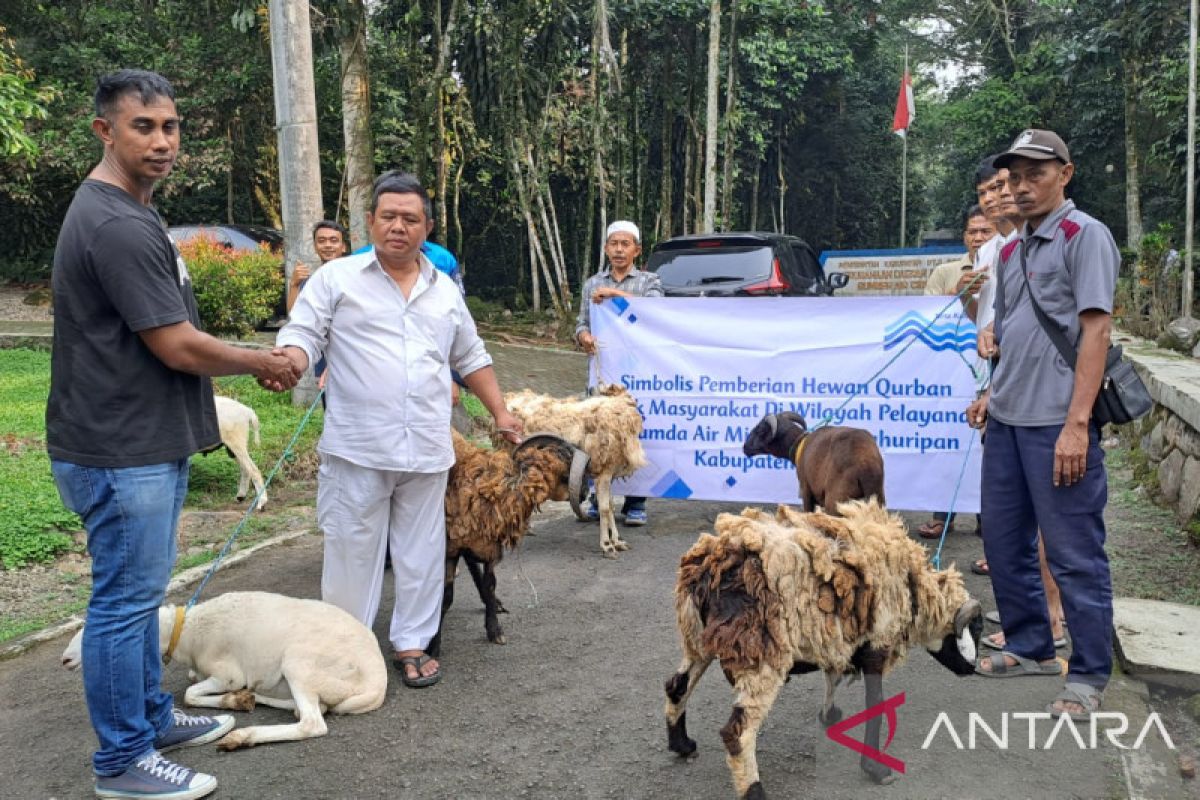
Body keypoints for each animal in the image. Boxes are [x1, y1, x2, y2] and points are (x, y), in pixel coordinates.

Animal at [63, 592, 386, 748]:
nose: (65, 660)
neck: (188, 633)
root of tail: (376, 685)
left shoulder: (227, 672)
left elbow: (190, 694)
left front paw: (228, 699)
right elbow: (193, 684)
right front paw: (237, 699)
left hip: (301, 662)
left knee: (312, 722)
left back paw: (242, 736)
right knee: (307, 708)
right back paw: (248, 699)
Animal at [432, 431, 590, 657]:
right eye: (570, 466)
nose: (585, 493)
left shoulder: (490, 549)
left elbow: (490, 585)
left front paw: (495, 630)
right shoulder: (450, 549)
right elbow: (445, 597)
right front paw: (433, 646)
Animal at [499, 386, 648, 556]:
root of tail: (510, 399)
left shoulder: (608, 475)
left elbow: (610, 507)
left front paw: (617, 542)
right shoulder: (603, 473)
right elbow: (604, 509)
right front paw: (607, 545)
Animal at [662, 501, 979, 800]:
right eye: (975, 629)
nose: (973, 669)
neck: (914, 587)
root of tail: (709, 570)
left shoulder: (837, 637)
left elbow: (833, 677)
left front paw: (829, 714)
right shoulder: (877, 643)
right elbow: (875, 704)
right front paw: (876, 769)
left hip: (698, 639)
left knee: (677, 686)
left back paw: (681, 744)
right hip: (762, 655)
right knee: (738, 732)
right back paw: (754, 791)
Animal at [739, 412, 883, 513]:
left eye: (760, 430)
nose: (745, 447)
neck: (798, 443)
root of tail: (867, 465)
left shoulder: (806, 489)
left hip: (836, 500)